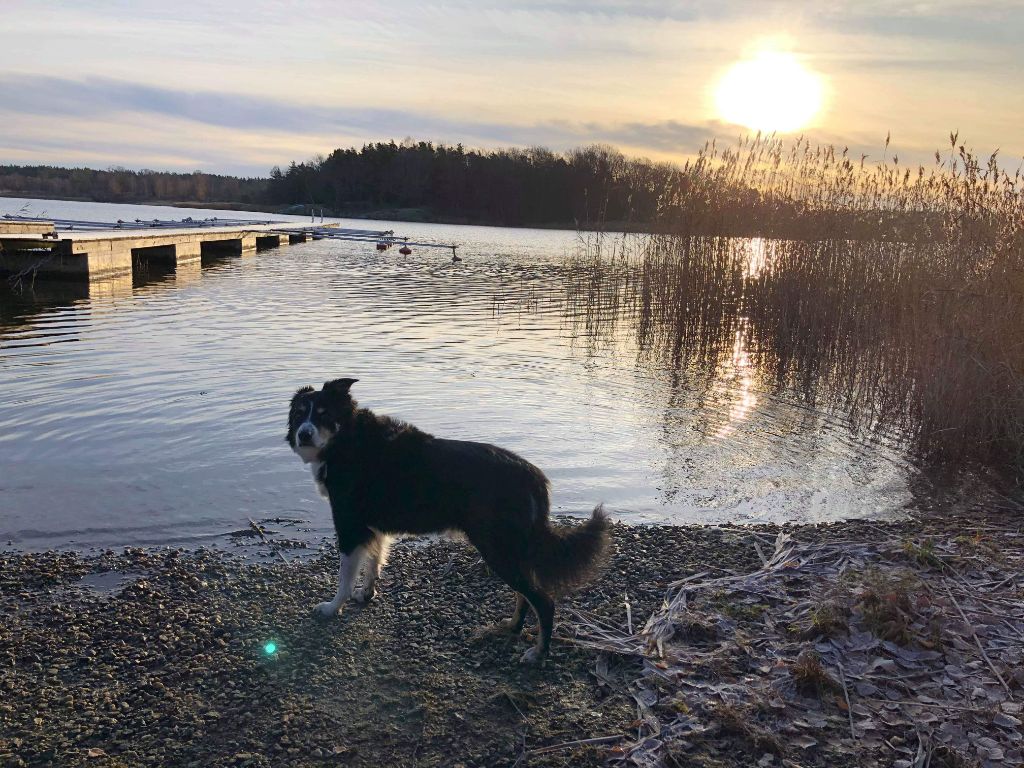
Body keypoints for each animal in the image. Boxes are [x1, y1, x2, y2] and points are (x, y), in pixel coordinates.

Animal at [284, 378, 610, 663]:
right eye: (299, 413)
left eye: (324, 414)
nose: (304, 434)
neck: (347, 439)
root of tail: (534, 477)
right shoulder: (373, 527)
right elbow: (375, 560)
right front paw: (367, 593)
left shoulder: (349, 526)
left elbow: (345, 577)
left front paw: (332, 608)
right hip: (510, 549)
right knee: (526, 594)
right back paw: (512, 627)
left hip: (497, 548)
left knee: (543, 600)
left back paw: (538, 653)